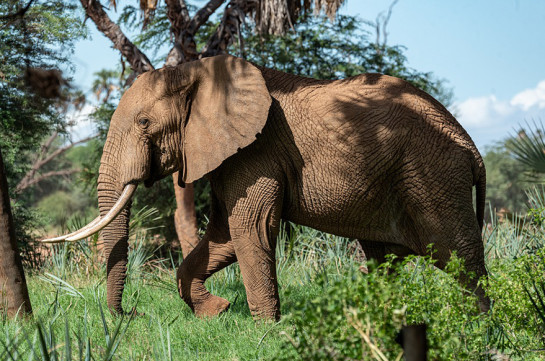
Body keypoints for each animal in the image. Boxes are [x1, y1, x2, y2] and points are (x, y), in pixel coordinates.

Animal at [45, 53, 488, 318]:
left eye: (143, 123)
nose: (130, 315)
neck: (197, 71)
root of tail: (471, 146)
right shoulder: (230, 154)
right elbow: (223, 235)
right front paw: (217, 311)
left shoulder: (257, 150)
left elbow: (250, 227)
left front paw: (265, 331)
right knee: (385, 259)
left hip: (433, 174)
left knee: (460, 257)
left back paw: (478, 328)